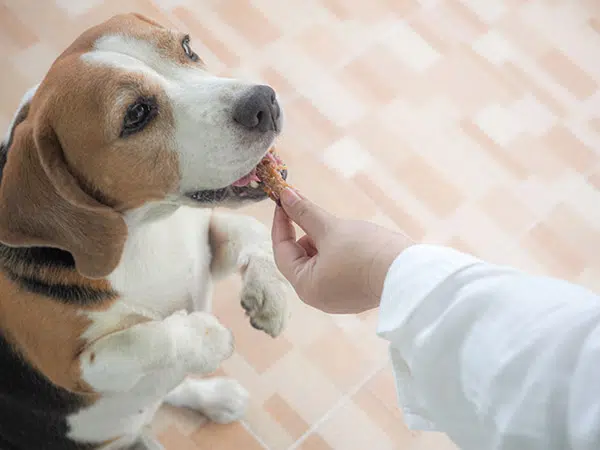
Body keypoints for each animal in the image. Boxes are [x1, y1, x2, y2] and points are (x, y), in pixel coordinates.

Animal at [0, 12, 292, 448]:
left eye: (187, 47)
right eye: (136, 114)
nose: (264, 101)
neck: (147, 230)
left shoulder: (204, 245)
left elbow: (252, 233)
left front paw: (270, 292)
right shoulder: (76, 367)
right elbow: (147, 337)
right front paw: (205, 336)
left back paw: (214, 397)